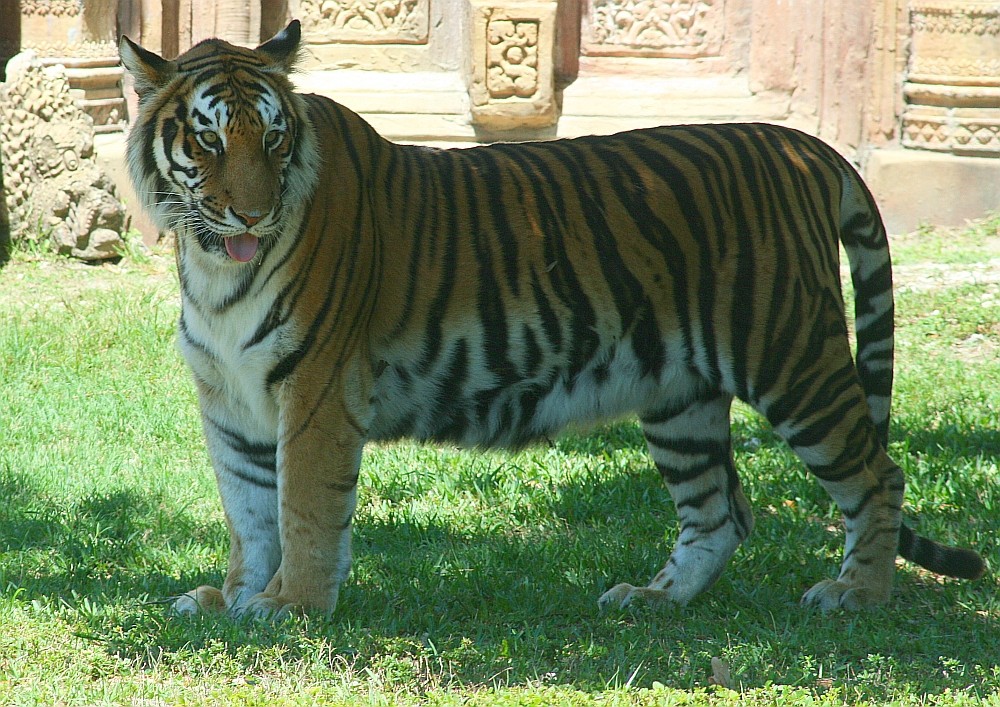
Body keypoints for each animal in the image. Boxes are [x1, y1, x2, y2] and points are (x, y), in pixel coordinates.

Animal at [119, 20, 984, 620]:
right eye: (207, 139)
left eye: (272, 138)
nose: (253, 214)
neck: (211, 266)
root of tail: (806, 147)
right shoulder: (230, 400)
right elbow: (247, 512)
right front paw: (232, 597)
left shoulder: (317, 393)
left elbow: (301, 506)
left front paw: (290, 606)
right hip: (680, 395)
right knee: (721, 512)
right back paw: (653, 599)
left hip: (791, 357)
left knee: (878, 474)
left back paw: (856, 593)